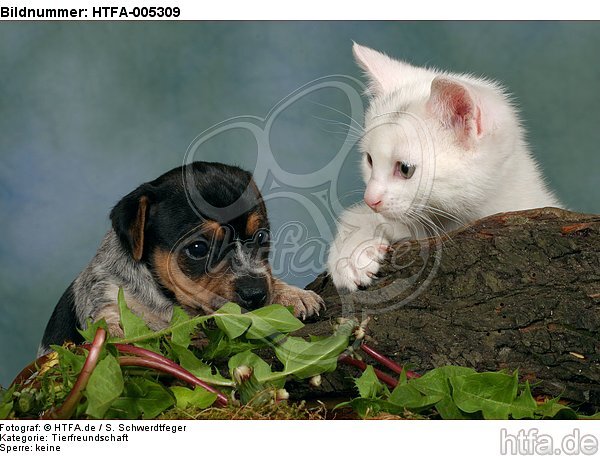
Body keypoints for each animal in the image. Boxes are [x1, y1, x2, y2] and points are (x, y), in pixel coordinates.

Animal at [39, 162, 324, 354]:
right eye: (198, 248)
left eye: (262, 236)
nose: (255, 294)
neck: (167, 300)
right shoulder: (105, 295)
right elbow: (110, 321)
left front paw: (291, 294)